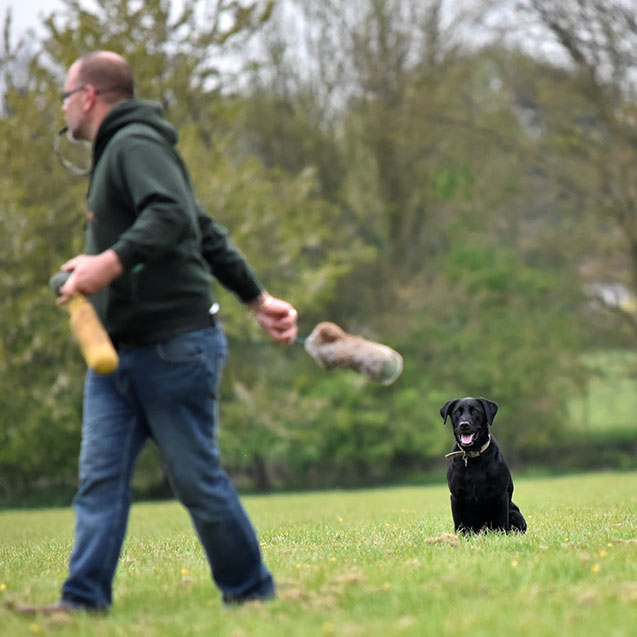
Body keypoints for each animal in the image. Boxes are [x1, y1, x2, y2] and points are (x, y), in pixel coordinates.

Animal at [440, 396, 524, 536]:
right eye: (457, 412)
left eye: (475, 411)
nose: (464, 425)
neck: (473, 457)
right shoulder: (456, 496)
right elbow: (459, 525)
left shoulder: (501, 495)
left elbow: (502, 522)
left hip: (515, 513)